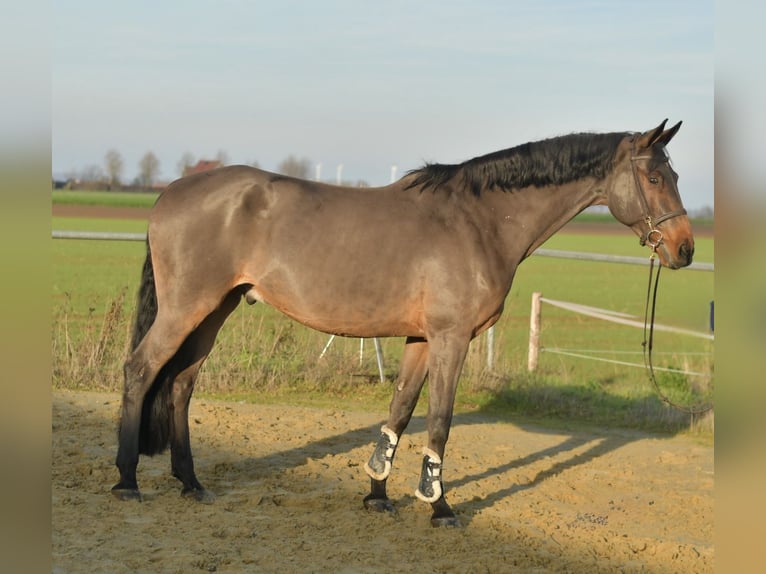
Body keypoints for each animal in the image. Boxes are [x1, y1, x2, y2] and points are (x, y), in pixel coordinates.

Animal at [111, 120, 694, 527]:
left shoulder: (421, 337)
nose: (685, 249)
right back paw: (127, 480)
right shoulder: (451, 338)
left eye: (675, 174)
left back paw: (191, 483)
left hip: (217, 308)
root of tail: (174, 190)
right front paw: (439, 506)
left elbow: (401, 411)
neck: (478, 221)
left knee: (182, 382)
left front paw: (377, 494)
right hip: (188, 307)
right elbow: (439, 419)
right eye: (653, 176)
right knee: (141, 369)